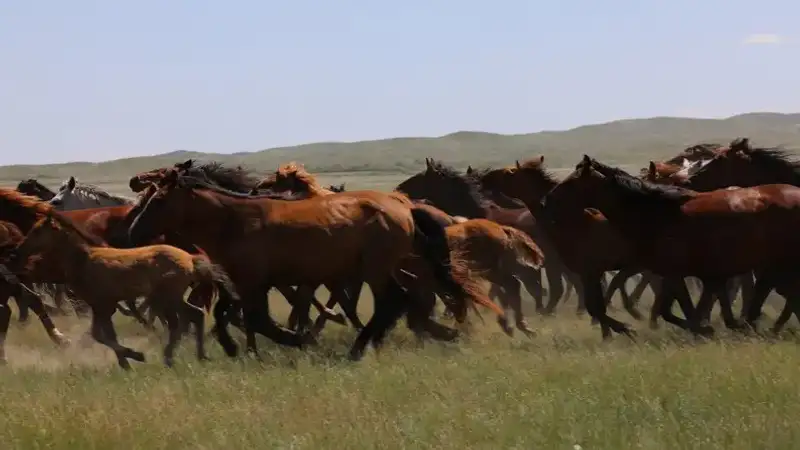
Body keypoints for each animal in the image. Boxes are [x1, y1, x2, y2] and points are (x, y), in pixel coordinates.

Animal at [6, 214, 239, 370]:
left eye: (37, 231)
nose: (16, 252)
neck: (84, 260)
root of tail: (190, 258)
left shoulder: (101, 305)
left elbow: (100, 335)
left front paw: (135, 356)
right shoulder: (102, 306)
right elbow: (105, 335)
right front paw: (126, 363)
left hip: (168, 297)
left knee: (183, 320)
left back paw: (171, 358)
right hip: (169, 298)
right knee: (195, 315)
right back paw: (199, 356)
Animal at [129, 169, 506, 362]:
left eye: (157, 199)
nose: (133, 231)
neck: (234, 221)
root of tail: (405, 206)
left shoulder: (254, 282)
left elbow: (257, 319)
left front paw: (300, 341)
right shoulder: (244, 282)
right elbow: (228, 314)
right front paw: (234, 347)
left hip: (376, 270)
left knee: (395, 301)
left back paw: (359, 349)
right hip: (385, 269)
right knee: (404, 301)